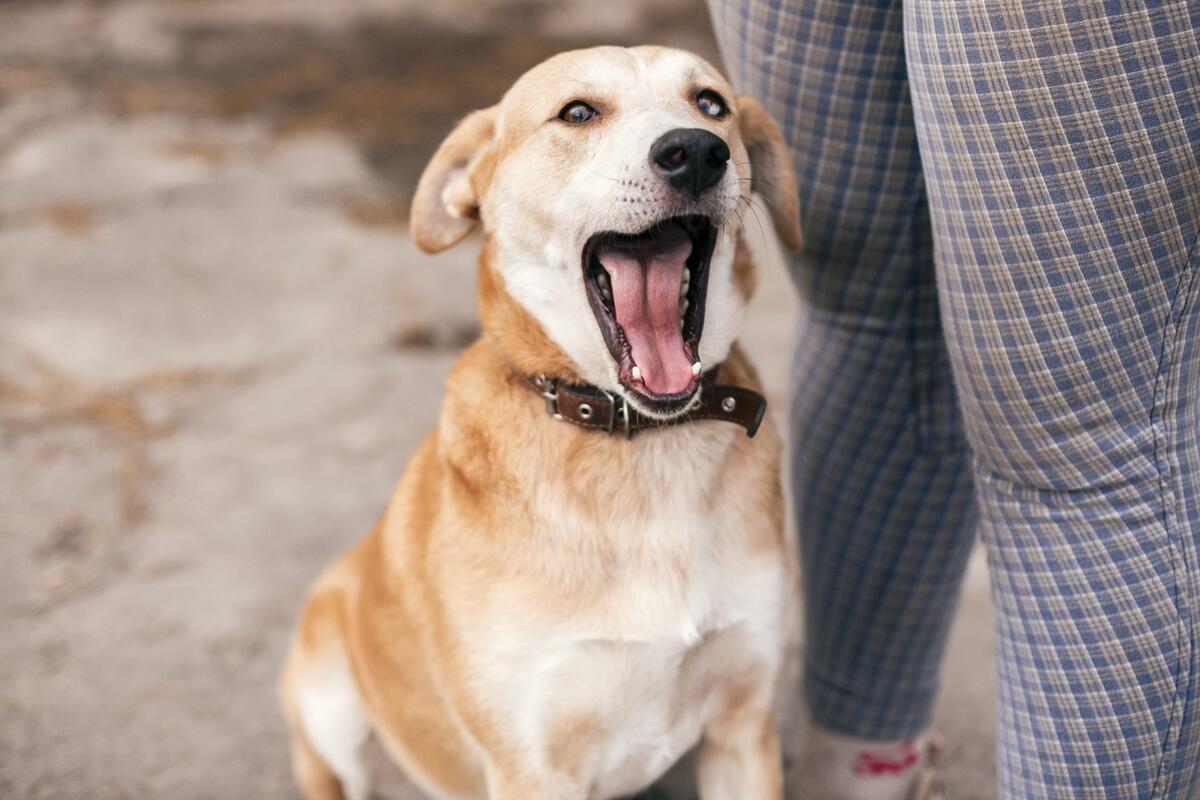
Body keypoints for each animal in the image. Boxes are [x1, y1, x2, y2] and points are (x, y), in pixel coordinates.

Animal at [279, 45, 801, 800]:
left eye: (710, 104)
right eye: (578, 112)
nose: (697, 153)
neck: (639, 441)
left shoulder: (743, 728)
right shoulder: (530, 763)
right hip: (329, 696)